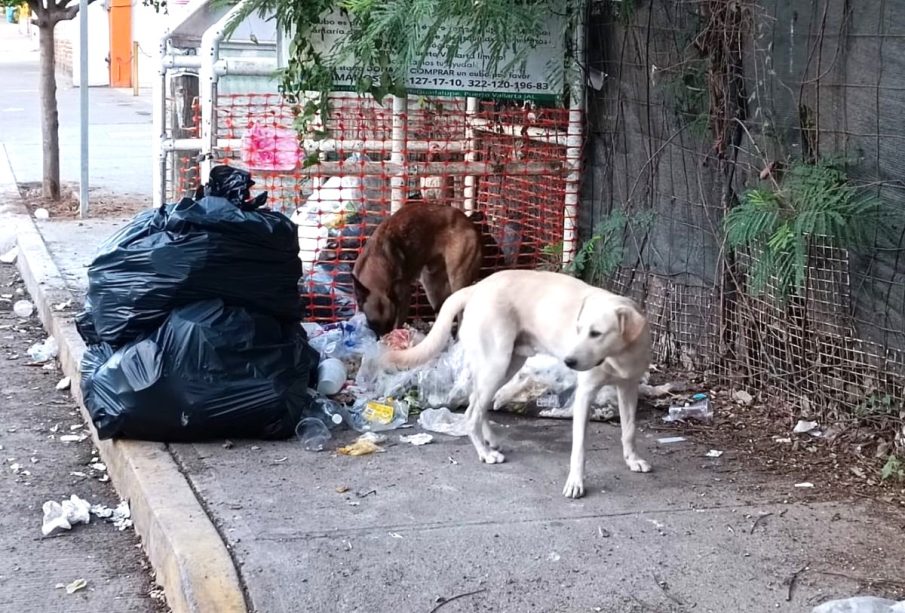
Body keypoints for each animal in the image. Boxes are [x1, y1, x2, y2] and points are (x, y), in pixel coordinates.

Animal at [352, 202, 484, 334]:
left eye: (389, 323)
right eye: (373, 324)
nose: (382, 337)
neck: (376, 266)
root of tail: (469, 222)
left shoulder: (404, 300)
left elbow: (397, 324)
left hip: (457, 281)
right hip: (431, 284)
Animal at [380, 268, 648, 498]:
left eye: (596, 333)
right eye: (578, 329)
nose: (569, 361)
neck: (618, 356)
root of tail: (475, 288)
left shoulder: (629, 387)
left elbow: (629, 430)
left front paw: (633, 459)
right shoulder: (585, 394)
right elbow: (579, 449)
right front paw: (575, 483)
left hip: (508, 366)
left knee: (475, 402)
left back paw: (490, 440)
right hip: (497, 364)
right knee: (471, 413)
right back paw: (485, 453)